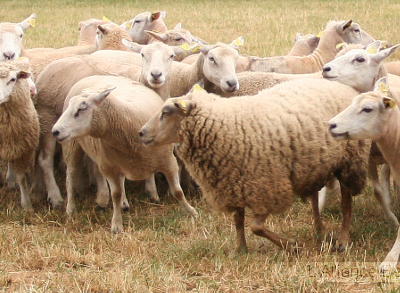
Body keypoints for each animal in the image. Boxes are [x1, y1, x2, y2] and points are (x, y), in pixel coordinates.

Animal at [51, 75, 198, 233]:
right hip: (72, 145)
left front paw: (192, 212)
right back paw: (71, 209)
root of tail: (93, 76)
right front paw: (116, 225)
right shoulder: (108, 168)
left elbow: (178, 191)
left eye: (82, 108)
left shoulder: (168, 161)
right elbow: (115, 194)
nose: (55, 131)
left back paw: (124, 204)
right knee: (70, 175)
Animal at [139, 78, 370, 252]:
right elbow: (238, 220)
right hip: (311, 165)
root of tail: (342, 86)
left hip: (350, 163)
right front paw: (240, 250)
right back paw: (319, 230)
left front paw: (290, 244)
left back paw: (342, 240)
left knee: (346, 204)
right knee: (314, 197)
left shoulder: (268, 187)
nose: (141, 133)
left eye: (166, 112)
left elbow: (256, 226)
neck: (225, 123)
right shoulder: (232, 183)